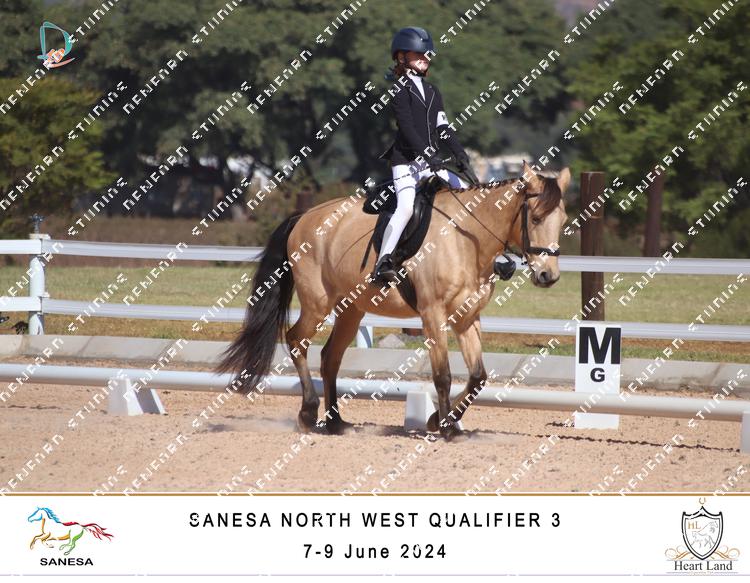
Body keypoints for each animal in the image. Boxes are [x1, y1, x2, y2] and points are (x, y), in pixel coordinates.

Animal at [218, 160, 570, 440]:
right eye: (536, 218)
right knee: (296, 341)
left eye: (563, 220)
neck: (466, 238)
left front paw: (440, 420)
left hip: (351, 310)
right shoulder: (432, 314)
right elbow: (442, 374)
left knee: (330, 357)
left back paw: (335, 422)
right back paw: (308, 413)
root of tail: (304, 215)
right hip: (318, 303)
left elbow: (478, 377)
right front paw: (445, 427)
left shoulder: (467, 317)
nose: (548, 276)